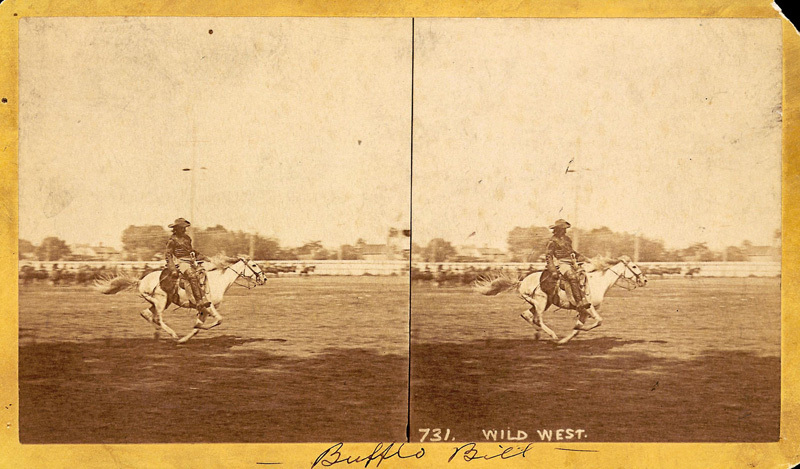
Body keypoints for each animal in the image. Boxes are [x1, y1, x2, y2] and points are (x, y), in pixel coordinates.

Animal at [94, 256, 266, 344]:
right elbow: (219, 320)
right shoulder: (208, 306)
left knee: (146, 314)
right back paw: (171, 334)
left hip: (162, 302)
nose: (264, 278)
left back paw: (158, 334)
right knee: (157, 318)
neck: (218, 281)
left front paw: (186, 337)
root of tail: (141, 281)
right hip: (161, 302)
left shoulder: (203, 310)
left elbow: (198, 328)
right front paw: (192, 329)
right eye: (254, 265)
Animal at [472, 256, 648, 344]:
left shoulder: (584, 311)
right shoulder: (588, 307)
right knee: (537, 319)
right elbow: (598, 321)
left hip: (544, 303)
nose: (644, 280)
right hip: (541, 303)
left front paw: (567, 338)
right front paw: (573, 330)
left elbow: (578, 330)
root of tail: (521, 282)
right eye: (634, 267)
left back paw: (538, 335)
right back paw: (552, 335)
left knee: (527, 315)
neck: (598, 281)